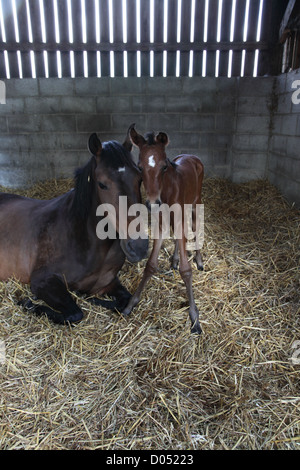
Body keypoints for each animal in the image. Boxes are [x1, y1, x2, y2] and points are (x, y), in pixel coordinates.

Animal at [122, 123, 204, 332]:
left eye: (164, 166)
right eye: (139, 167)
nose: (152, 203)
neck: (166, 191)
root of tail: (192, 156)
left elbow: (186, 270)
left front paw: (194, 316)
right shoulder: (160, 223)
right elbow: (150, 264)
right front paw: (131, 304)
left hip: (195, 201)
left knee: (195, 226)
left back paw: (199, 260)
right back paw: (174, 259)